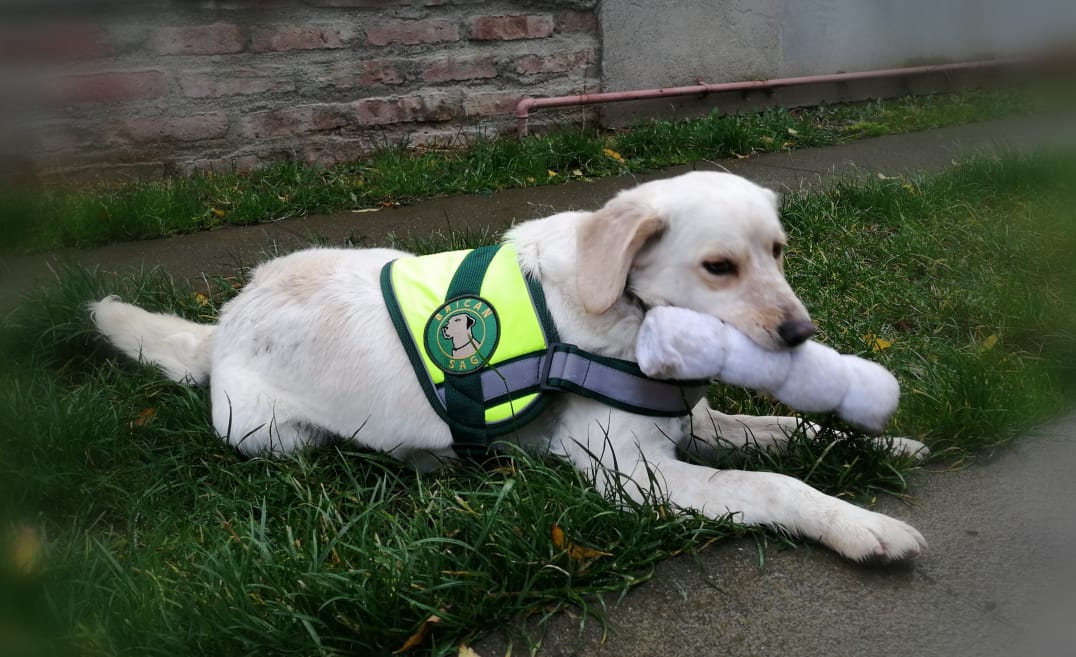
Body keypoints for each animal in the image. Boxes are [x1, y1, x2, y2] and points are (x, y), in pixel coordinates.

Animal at [92, 172, 925, 563]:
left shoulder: (699, 424)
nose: (801, 331)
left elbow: (792, 430)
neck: (624, 312)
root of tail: (227, 319)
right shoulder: (637, 475)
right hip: (268, 434)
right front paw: (864, 527)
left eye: (778, 251)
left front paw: (885, 443)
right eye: (719, 266)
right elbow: (776, 483)